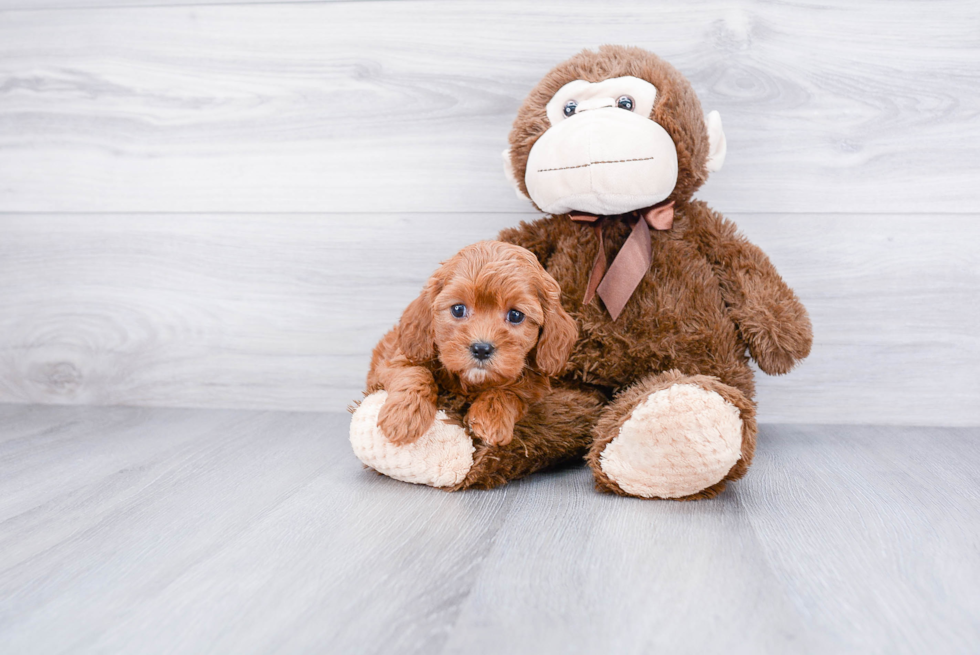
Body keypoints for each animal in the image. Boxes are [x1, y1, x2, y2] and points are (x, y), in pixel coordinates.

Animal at [366, 243, 576, 448]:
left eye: (516, 315)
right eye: (458, 309)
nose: (481, 349)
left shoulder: (534, 388)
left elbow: (511, 391)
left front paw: (490, 418)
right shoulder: (397, 360)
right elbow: (415, 373)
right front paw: (404, 415)